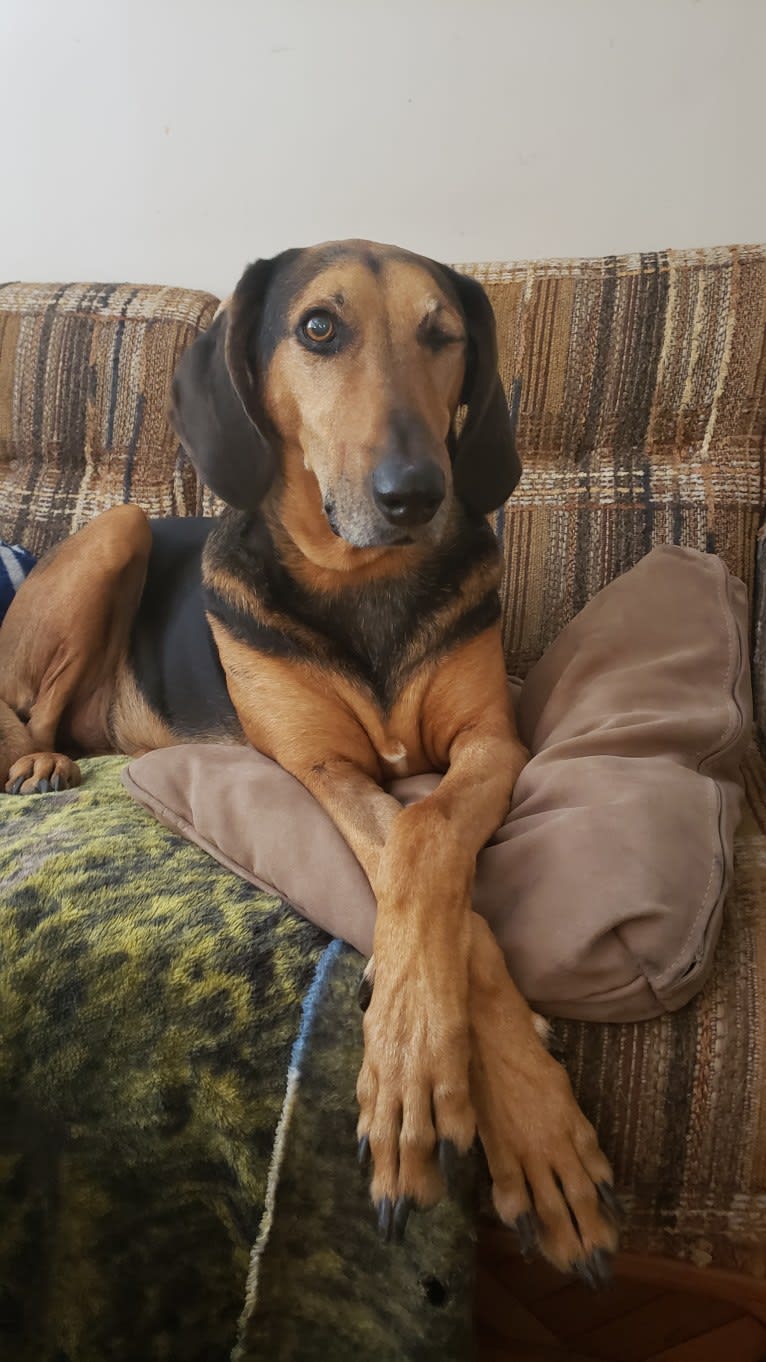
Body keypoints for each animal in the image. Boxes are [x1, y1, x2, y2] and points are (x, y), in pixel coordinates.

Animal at [0, 239, 616, 1269]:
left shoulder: (493, 742)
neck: (365, 583)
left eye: (444, 334)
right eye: (318, 327)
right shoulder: (322, 769)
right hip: (118, 526)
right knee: (18, 711)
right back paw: (35, 764)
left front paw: (526, 1118)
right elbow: (417, 857)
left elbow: (429, 836)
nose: (418, 493)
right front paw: (428, 1077)